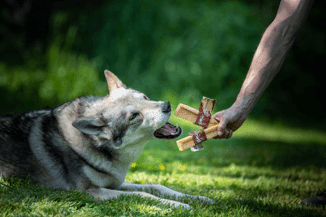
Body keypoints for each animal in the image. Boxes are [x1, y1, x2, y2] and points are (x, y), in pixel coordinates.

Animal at [0, 70, 214, 209]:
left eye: (144, 97)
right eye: (134, 116)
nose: (167, 105)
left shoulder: (116, 183)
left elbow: (157, 186)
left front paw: (198, 198)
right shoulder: (91, 192)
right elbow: (142, 194)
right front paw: (178, 205)